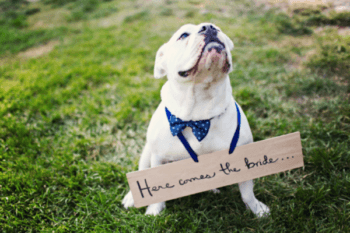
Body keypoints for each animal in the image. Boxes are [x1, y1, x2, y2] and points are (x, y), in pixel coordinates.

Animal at [123, 22, 270, 218]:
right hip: (147, 153)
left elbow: (247, 191)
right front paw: (154, 210)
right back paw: (132, 197)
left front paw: (256, 209)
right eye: (183, 35)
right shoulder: (158, 157)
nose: (209, 28)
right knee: (142, 171)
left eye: (218, 28)